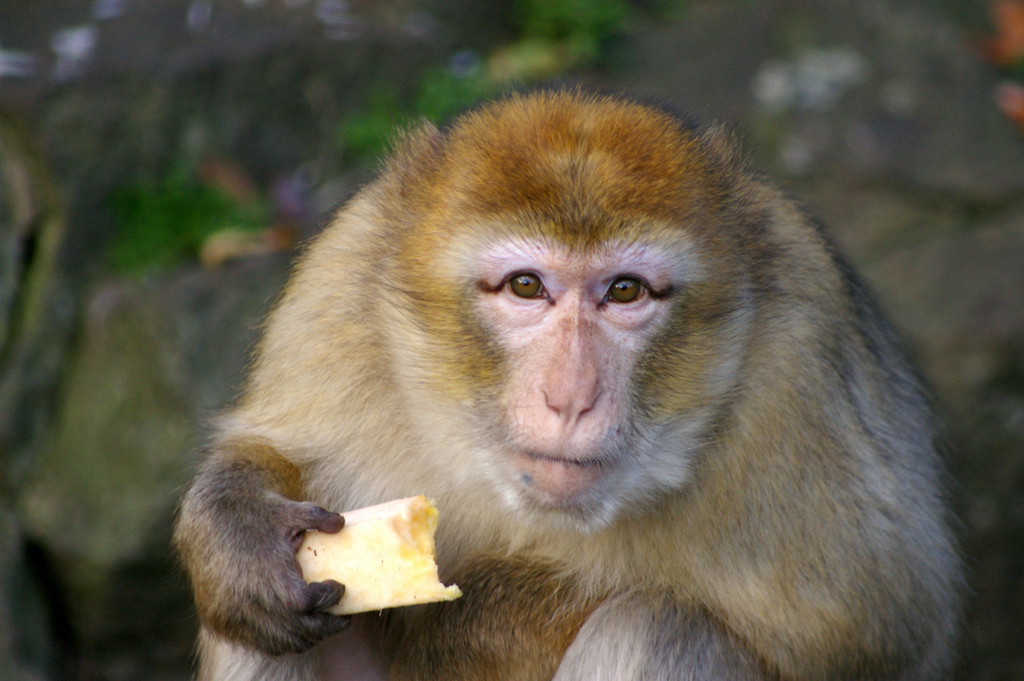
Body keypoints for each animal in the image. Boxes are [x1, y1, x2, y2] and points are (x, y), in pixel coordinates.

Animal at [173, 90, 962, 681]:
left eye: (625, 291)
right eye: (526, 286)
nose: (570, 396)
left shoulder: (798, 366)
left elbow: (871, 628)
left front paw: (443, 624)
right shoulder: (338, 286)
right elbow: (273, 449)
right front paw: (236, 526)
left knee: (654, 624)